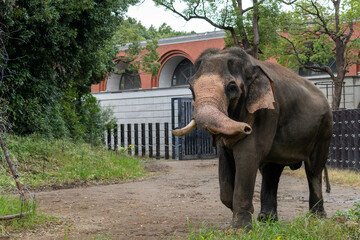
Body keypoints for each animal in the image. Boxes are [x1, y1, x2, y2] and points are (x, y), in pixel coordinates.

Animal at [173, 47, 334, 229]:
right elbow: (225, 158)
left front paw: (240, 229)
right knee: (271, 170)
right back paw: (267, 219)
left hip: (324, 129)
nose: (246, 128)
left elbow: (248, 155)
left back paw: (317, 218)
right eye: (190, 88)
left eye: (232, 87)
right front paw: (246, 212)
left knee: (313, 169)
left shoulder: (268, 112)